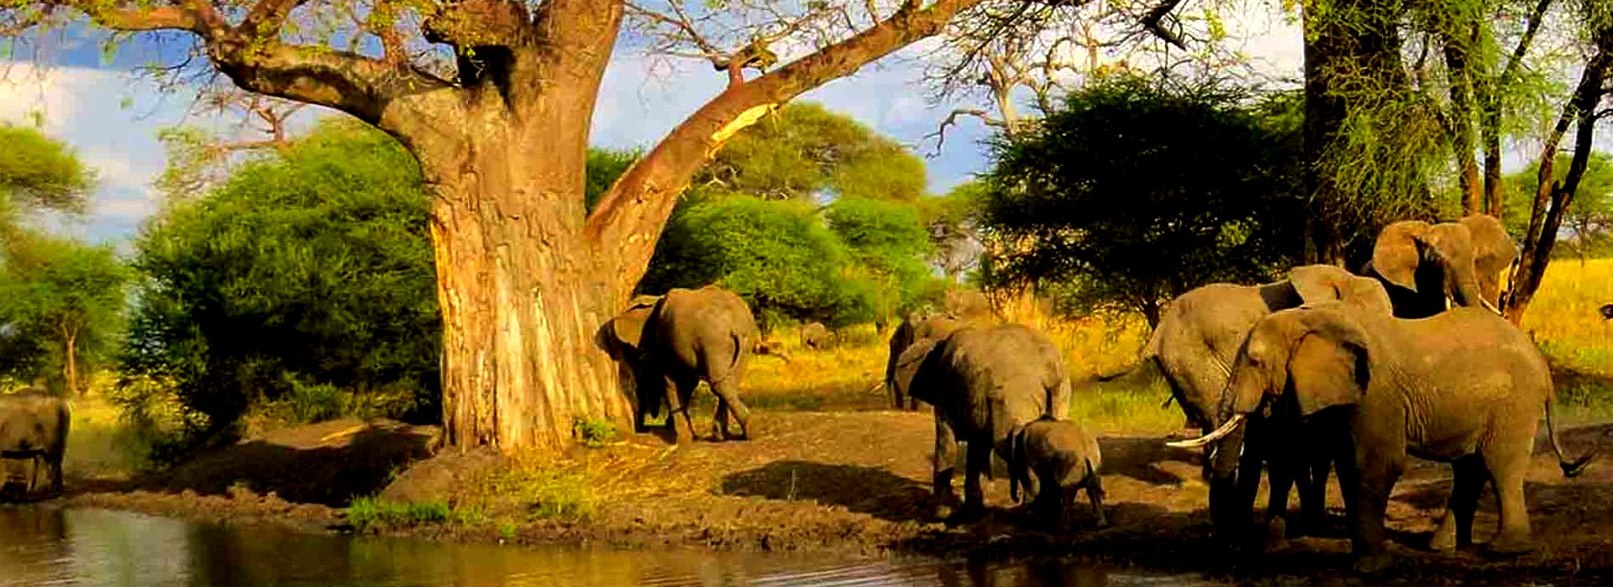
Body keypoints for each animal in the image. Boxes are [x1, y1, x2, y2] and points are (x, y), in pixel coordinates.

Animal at [600, 285, 761, 445]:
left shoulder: (664, 344)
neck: (655, 299)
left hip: (714, 341)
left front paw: (682, 438)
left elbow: (670, 382)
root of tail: (736, 324)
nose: (642, 428)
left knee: (719, 384)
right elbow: (686, 384)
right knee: (729, 381)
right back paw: (726, 434)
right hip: (745, 342)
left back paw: (749, 428)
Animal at [896, 322, 1071, 519]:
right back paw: (1044, 512)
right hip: (1059, 394)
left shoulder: (944, 391)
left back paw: (1034, 511)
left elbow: (946, 443)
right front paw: (973, 511)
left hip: (1014, 397)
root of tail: (1050, 370)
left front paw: (943, 513)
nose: (1015, 497)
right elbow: (977, 446)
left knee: (1010, 444)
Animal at [1174, 303, 1600, 574]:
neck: (1309, 318)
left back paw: (1504, 551)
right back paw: (1441, 546)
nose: (1230, 551)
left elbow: (1375, 466)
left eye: (1256, 361)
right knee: (1470, 467)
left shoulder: (1375, 394)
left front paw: (1367, 569)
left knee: (1500, 465)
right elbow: (1348, 466)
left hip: (1514, 402)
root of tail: (1542, 365)